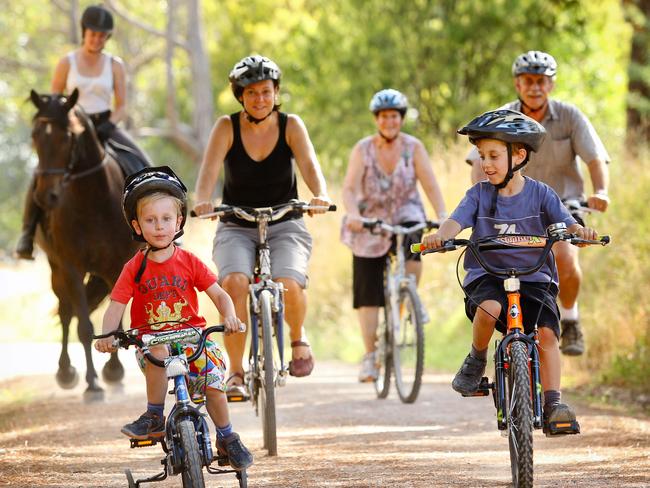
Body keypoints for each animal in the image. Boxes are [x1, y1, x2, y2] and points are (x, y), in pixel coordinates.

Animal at [29, 89, 139, 398]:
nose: (46, 197)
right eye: (35, 135)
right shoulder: (71, 267)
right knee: (67, 313)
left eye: (68, 137)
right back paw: (66, 372)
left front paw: (114, 373)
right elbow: (84, 326)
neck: (93, 201)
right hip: (56, 269)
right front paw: (93, 384)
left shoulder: (116, 267)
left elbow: (115, 323)